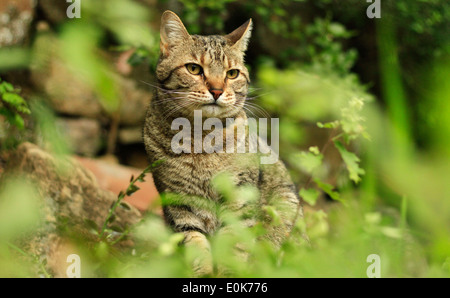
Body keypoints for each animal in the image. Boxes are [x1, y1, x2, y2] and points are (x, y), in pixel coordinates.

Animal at [143, 10, 306, 276]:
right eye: (194, 69)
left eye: (232, 74)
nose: (217, 90)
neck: (200, 139)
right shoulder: (180, 202)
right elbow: (195, 245)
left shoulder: (240, 197)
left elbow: (234, 246)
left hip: (285, 203)